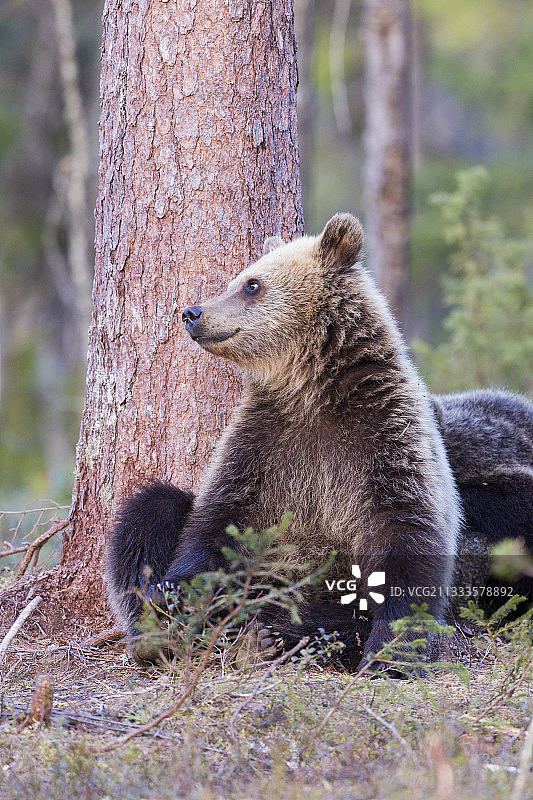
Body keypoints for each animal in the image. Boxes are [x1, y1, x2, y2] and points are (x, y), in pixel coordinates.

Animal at [106, 213, 464, 670]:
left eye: (252, 284)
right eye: (238, 279)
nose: (192, 312)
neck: (311, 390)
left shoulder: (385, 436)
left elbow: (406, 534)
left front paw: (389, 653)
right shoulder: (263, 442)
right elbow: (217, 521)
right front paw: (172, 594)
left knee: (335, 620)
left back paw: (277, 637)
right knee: (152, 508)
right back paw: (160, 632)